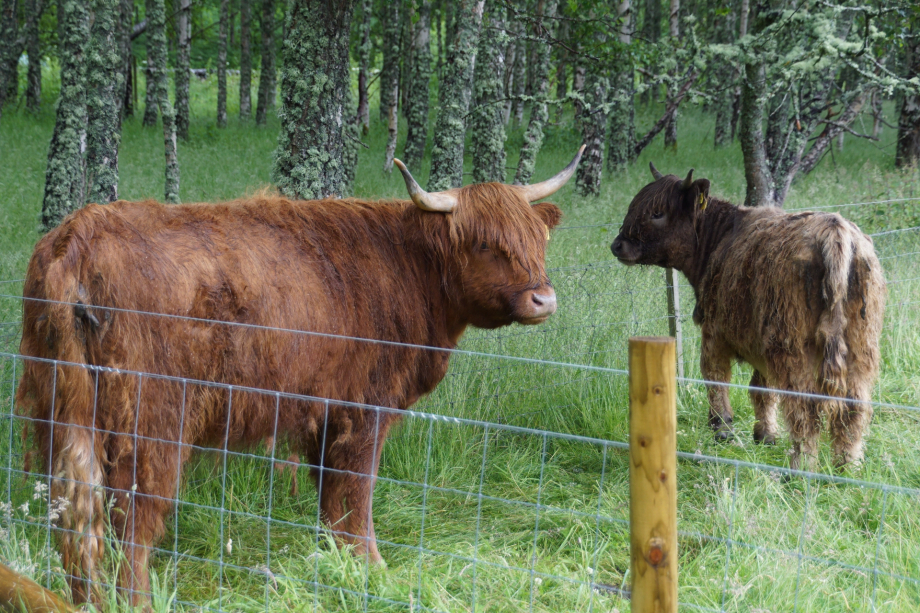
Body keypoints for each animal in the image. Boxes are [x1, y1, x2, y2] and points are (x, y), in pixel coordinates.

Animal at [16, 147, 584, 604]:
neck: (410, 268)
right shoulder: (365, 407)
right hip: (150, 423)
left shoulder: (324, 411)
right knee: (129, 520)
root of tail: (78, 237)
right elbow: (356, 492)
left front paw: (338, 562)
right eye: (485, 244)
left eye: (537, 238)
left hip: (61, 412)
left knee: (75, 518)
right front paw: (374, 568)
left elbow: (332, 496)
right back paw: (136, 601)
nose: (544, 299)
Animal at [612, 165, 884, 470]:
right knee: (854, 406)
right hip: (861, 345)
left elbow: (716, 377)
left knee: (804, 406)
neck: (717, 240)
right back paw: (846, 466)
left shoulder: (714, 331)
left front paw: (722, 429)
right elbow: (761, 389)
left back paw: (801, 467)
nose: (617, 245)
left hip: (790, 345)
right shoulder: (760, 343)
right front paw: (765, 435)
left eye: (657, 213)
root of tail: (836, 230)